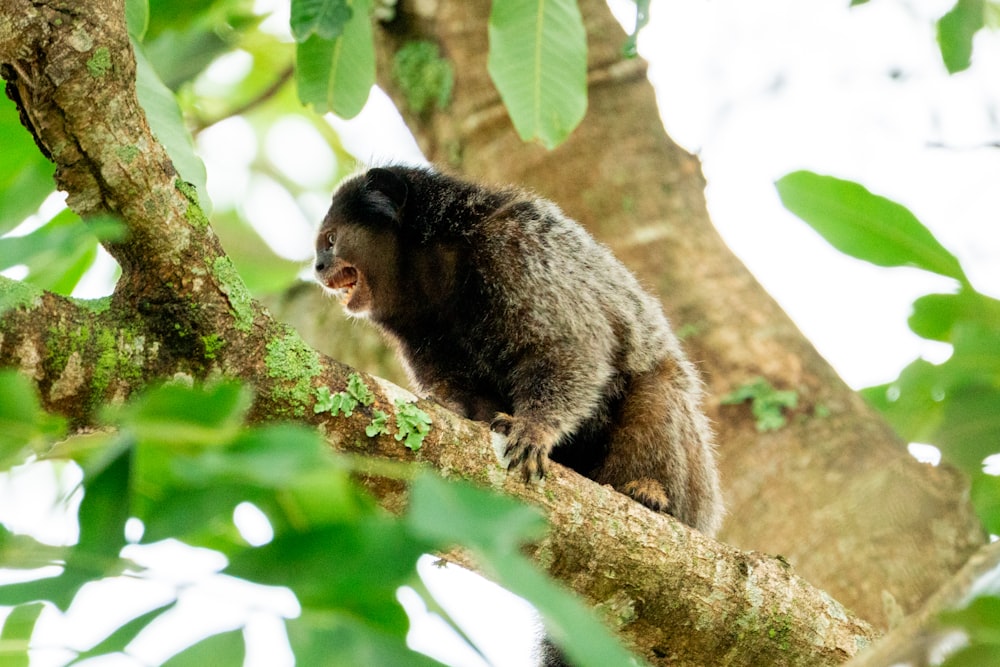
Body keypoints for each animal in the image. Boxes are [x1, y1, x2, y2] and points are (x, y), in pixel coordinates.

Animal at [312, 166, 720, 536]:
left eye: (330, 240)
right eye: (321, 247)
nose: (317, 266)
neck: (437, 265)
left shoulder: (515, 252)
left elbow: (573, 346)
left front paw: (534, 428)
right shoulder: (421, 329)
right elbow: (463, 394)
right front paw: (451, 406)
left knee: (656, 393)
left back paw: (648, 490)